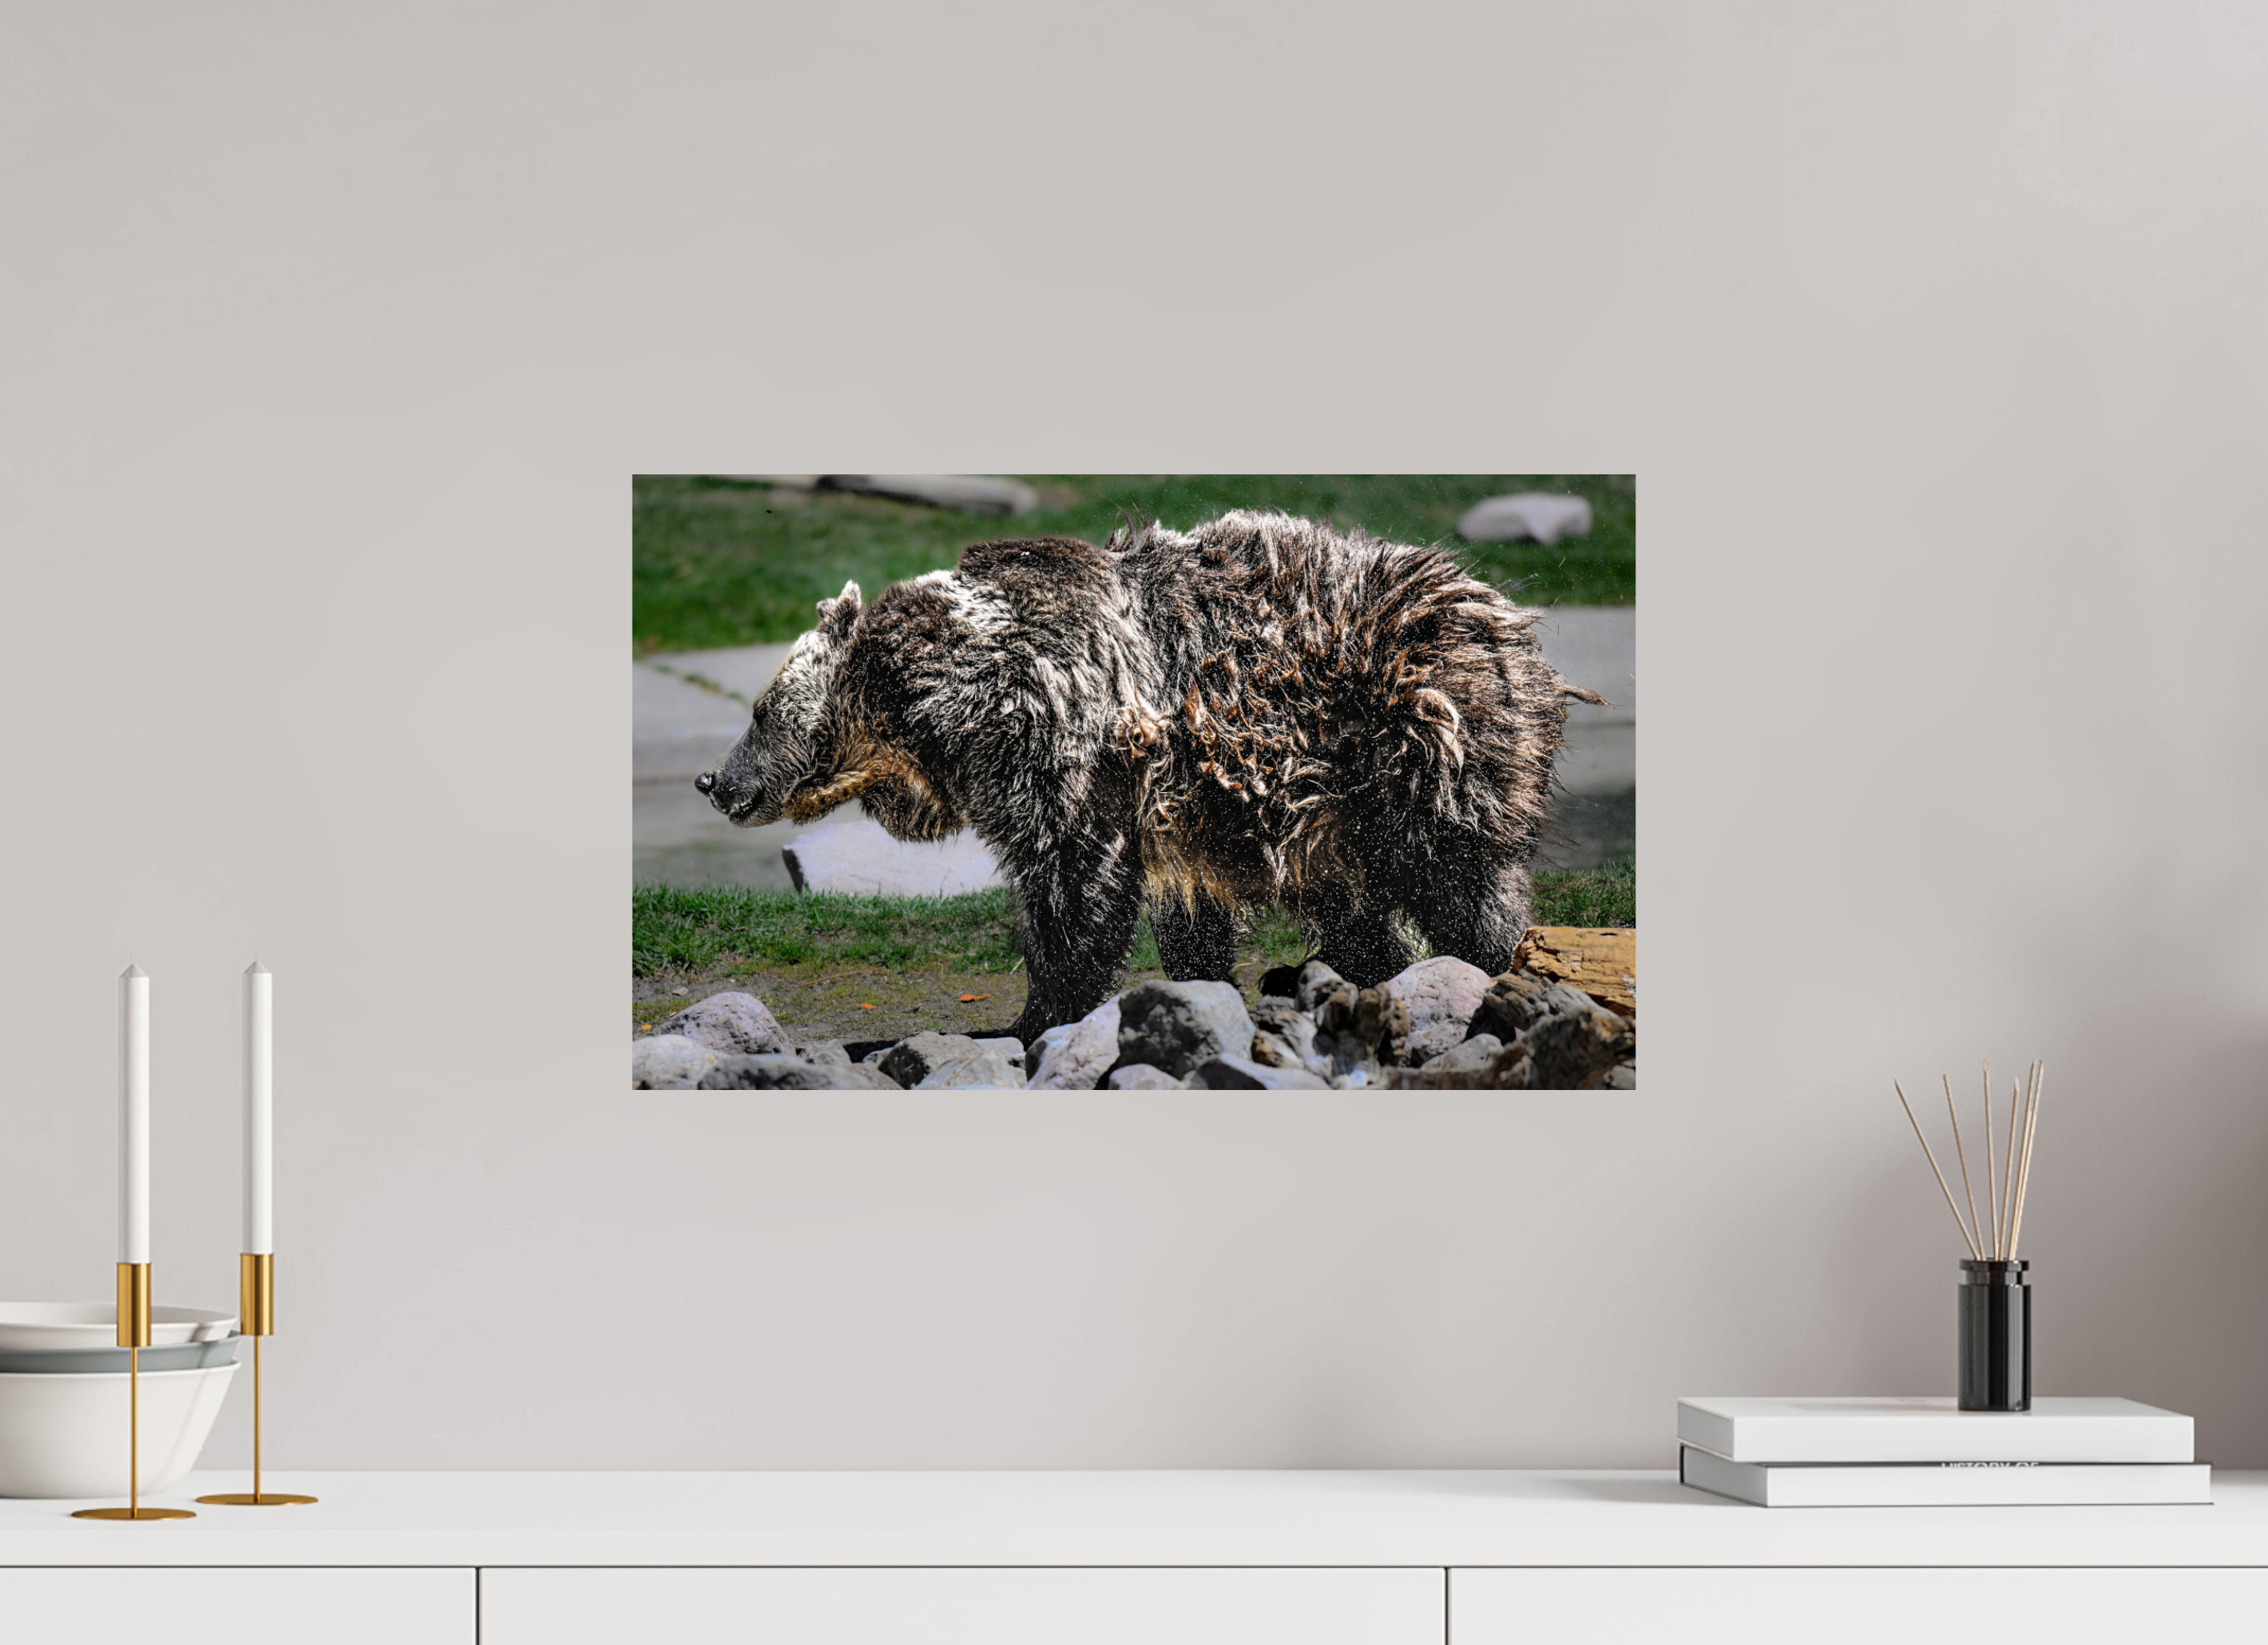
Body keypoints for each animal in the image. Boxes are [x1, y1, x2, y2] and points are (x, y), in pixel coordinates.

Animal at [695, 510, 1601, 1046]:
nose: (716, 782)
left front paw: (1037, 1014)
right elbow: (1185, 913)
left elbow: (1073, 890)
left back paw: (1498, 970)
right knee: (1359, 906)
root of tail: (1507, 615)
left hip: (1412, 739)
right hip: (1338, 803)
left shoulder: (1062, 754)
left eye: (759, 709)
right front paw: (1193, 990)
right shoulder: (1177, 804)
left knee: (1463, 883)